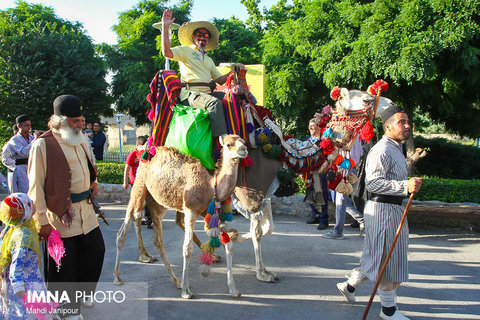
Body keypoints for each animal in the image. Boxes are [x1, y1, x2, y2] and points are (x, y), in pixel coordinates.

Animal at [113, 134, 248, 298]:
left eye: (243, 141)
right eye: (228, 145)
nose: (243, 150)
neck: (209, 186)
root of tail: (145, 155)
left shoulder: (206, 211)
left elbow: (229, 245)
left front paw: (233, 289)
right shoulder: (190, 210)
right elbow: (187, 248)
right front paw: (186, 290)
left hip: (157, 203)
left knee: (156, 239)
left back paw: (173, 278)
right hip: (139, 187)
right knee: (125, 228)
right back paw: (118, 277)